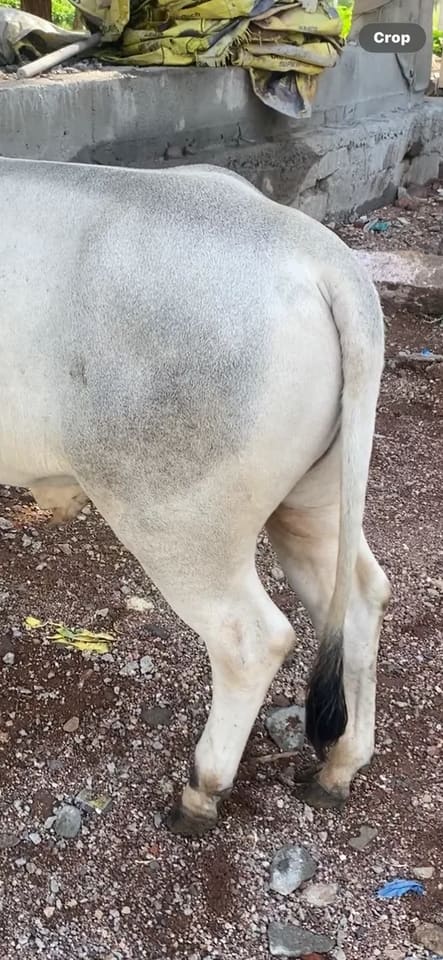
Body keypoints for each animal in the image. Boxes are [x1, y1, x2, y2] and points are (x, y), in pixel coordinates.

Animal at [0, 157, 391, 835]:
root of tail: (316, 249)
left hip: (175, 522)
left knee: (250, 639)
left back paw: (202, 790)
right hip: (314, 502)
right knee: (359, 597)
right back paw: (338, 768)